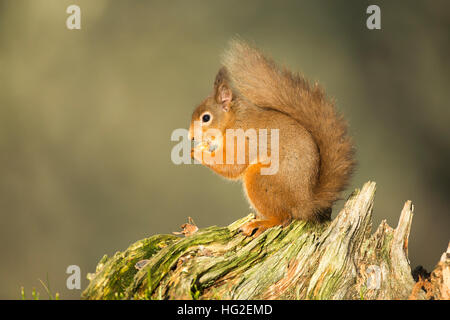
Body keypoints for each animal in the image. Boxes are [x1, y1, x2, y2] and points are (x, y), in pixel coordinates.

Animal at [187, 38, 356, 236]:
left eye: (206, 118)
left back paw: (260, 224)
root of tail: (305, 203)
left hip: (260, 178)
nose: (190, 137)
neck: (234, 119)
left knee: (283, 218)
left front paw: (196, 153)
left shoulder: (241, 141)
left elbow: (231, 166)